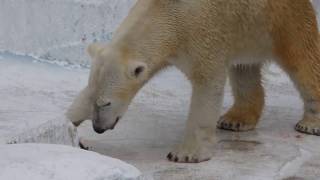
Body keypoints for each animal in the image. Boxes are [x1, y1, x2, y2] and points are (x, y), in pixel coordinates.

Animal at [66, 0, 320, 163]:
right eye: (95, 101)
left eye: (106, 103)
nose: (98, 128)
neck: (166, 14)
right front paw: (70, 130)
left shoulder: (203, 33)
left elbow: (207, 86)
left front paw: (185, 154)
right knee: (243, 70)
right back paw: (236, 120)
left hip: (278, 19)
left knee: (302, 60)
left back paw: (310, 124)